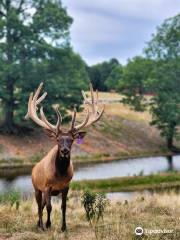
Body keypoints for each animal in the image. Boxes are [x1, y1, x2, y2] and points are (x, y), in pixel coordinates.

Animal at [25, 82, 104, 231]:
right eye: (57, 139)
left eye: (71, 140)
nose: (65, 151)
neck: (59, 175)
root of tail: (33, 169)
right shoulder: (47, 186)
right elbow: (49, 207)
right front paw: (48, 225)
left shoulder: (66, 186)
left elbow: (63, 206)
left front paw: (63, 227)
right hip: (36, 187)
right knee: (39, 206)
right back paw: (40, 225)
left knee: (42, 206)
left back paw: (39, 223)